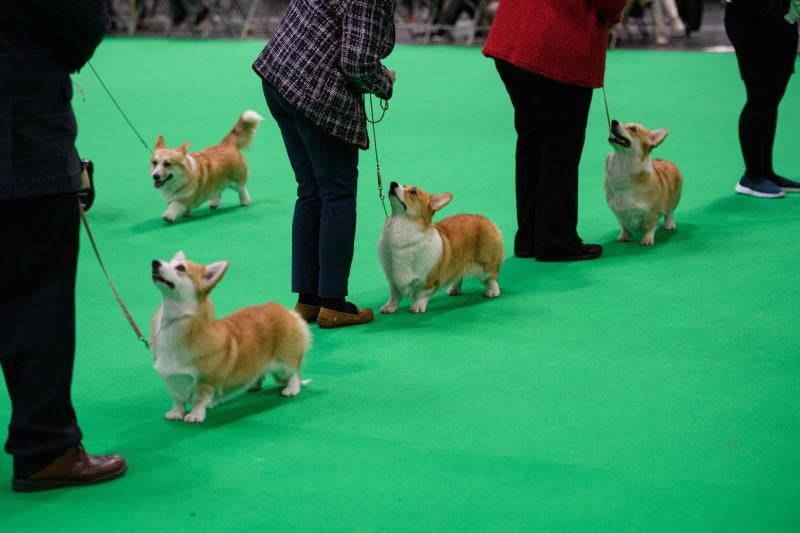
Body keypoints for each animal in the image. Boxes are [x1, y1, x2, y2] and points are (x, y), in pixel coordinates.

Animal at [152, 251, 310, 422]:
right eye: (168, 261)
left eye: (180, 267)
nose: (154, 262)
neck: (175, 320)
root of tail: (287, 311)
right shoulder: (174, 381)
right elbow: (178, 400)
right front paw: (175, 413)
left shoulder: (205, 380)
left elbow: (198, 400)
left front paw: (194, 415)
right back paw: (253, 385)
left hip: (284, 361)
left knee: (294, 373)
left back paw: (291, 389)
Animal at [378, 181, 504, 314]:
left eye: (413, 192)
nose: (393, 183)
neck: (403, 226)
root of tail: (484, 218)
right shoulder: (393, 281)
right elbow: (394, 295)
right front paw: (390, 307)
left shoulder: (428, 281)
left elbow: (421, 294)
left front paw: (417, 306)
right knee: (458, 275)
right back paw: (454, 289)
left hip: (486, 265)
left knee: (492, 278)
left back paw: (493, 291)